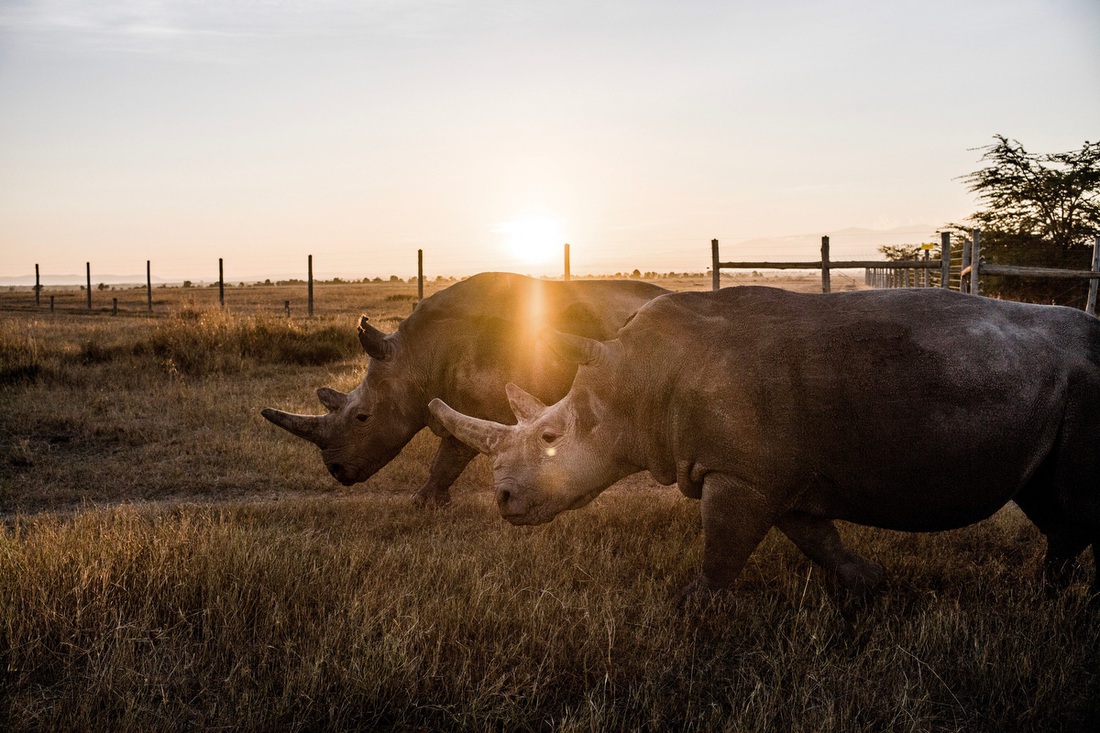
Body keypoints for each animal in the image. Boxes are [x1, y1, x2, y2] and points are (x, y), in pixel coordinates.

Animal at [261, 270, 664, 506]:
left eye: (362, 417)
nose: (336, 471)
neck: (414, 357)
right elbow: (450, 454)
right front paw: (432, 503)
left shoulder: (479, 406)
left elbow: (449, 455)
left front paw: (422, 503)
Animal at [429, 281, 1100, 598]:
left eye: (550, 437)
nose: (503, 502)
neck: (630, 382)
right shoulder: (775, 474)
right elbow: (817, 539)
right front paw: (871, 584)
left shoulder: (740, 473)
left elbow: (722, 549)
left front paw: (691, 605)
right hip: (1055, 387)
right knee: (1050, 504)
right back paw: (1047, 594)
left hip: (1085, 379)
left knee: (1071, 503)